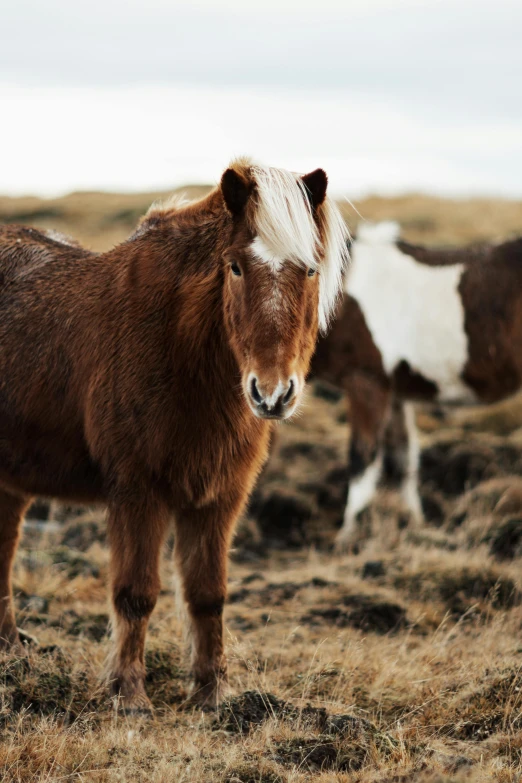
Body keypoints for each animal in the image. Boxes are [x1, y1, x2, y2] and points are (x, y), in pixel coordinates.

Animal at [1, 159, 350, 712]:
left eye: (311, 269)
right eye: (235, 267)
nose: (272, 394)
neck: (180, 351)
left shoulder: (220, 498)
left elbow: (208, 596)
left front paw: (212, 694)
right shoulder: (137, 492)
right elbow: (136, 592)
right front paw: (128, 695)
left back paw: (12, 650)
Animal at [308, 222, 520, 552]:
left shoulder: (366, 383)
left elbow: (362, 456)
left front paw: (349, 533)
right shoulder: (395, 393)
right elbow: (403, 458)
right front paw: (415, 523)